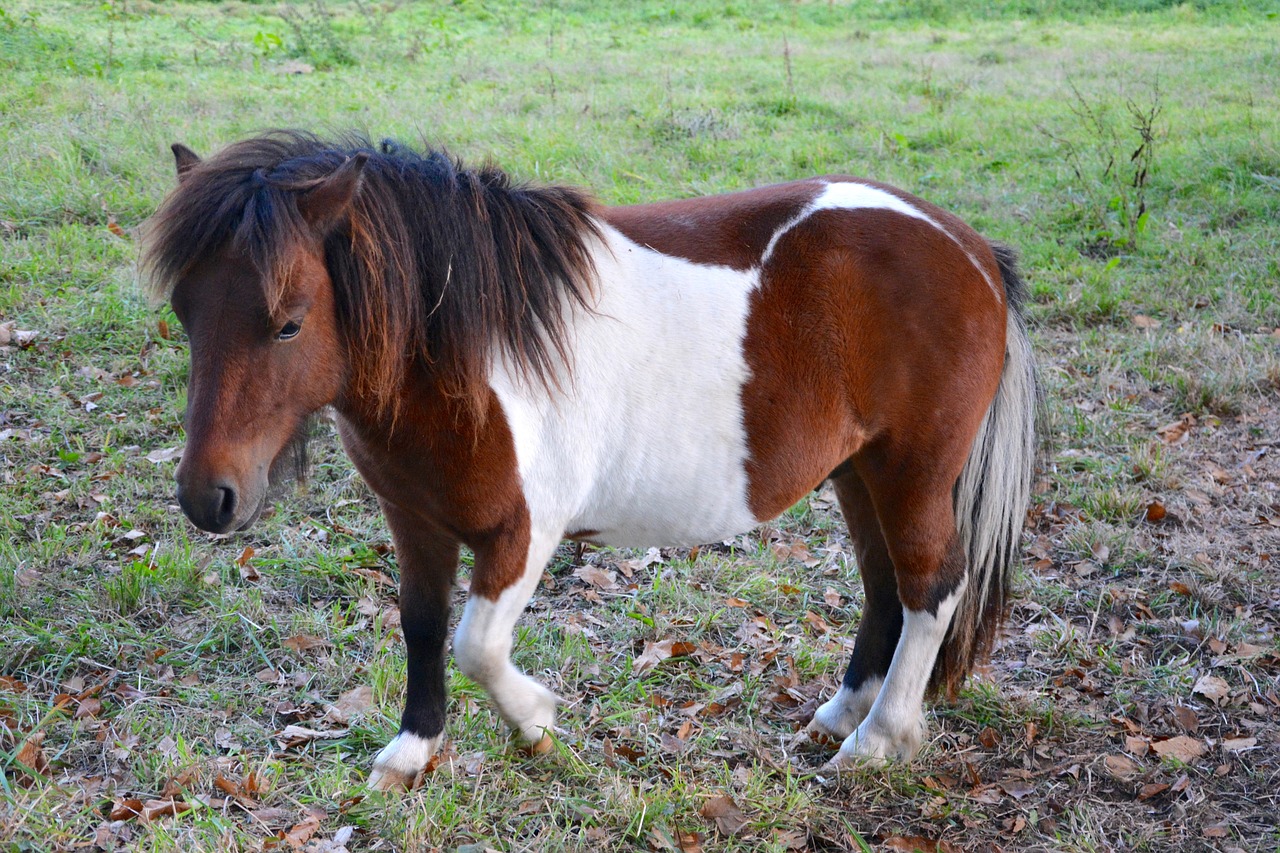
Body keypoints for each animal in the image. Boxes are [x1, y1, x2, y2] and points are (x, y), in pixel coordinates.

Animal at [142, 129, 1039, 788]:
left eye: (288, 321)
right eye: (185, 310)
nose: (207, 496)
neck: (464, 354)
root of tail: (971, 250)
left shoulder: (522, 534)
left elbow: (477, 644)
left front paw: (536, 722)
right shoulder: (414, 519)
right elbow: (423, 626)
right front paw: (412, 749)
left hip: (912, 471)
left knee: (930, 587)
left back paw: (881, 738)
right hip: (859, 471)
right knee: (885, 585)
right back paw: (840, 716)